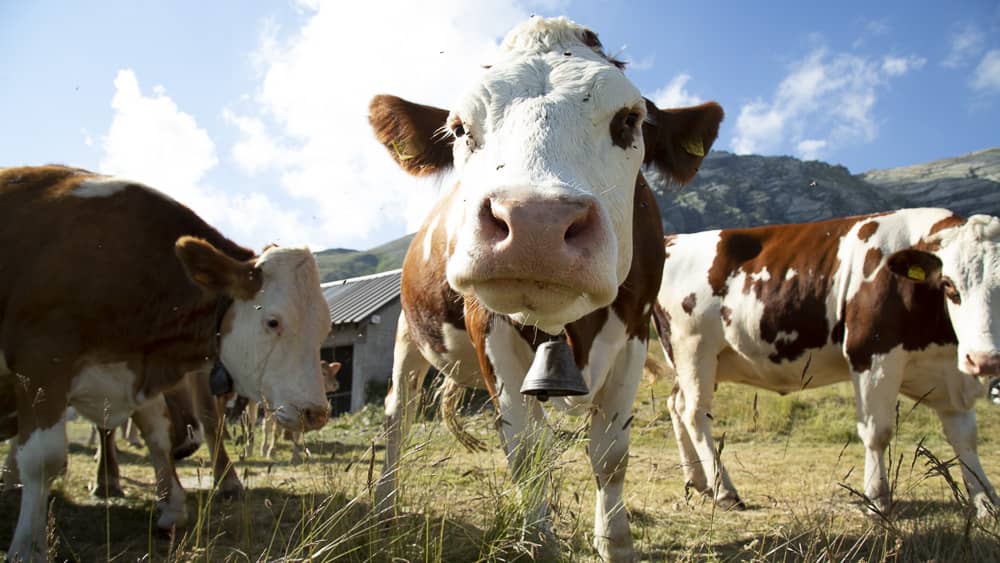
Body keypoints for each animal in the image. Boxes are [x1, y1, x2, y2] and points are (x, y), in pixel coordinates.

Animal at [0, 165, 334, 560]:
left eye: (325, 328)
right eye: (273, 322)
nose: (316, 412)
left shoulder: (132, 373)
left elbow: (157, 433)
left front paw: (171, 506)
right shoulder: (41, 365)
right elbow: (42, 459)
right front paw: (27, 546)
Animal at [364, 15, 724, 560]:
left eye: (629, 121)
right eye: (459, 128)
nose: (535, 224)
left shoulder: (634, 333)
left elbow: (611, 454)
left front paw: (614, 542)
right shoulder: (489, 330)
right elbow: (529, 452)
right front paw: (538, 539)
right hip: (408, 332)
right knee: (397, 416)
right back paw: (384, 506)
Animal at [652, 210, 1000, 516]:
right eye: (949, 285)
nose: (985, 360)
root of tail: (671, 241)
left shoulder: (950, 375)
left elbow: (965, 438)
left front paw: (985, 501)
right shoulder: (871, 354)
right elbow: (877, 431)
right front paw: (877, 500)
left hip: (705, 360)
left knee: (675, 404)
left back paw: (699, 481)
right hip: (694, 348)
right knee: (694, 413)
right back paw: (724, 491)